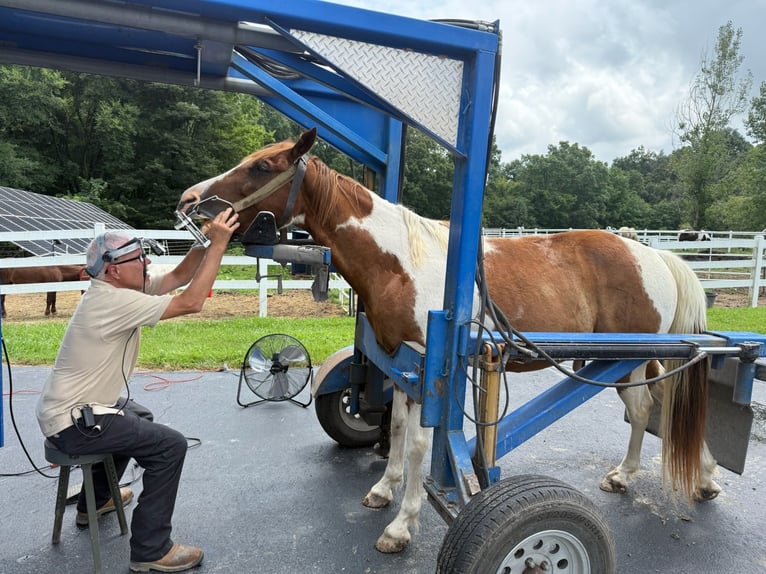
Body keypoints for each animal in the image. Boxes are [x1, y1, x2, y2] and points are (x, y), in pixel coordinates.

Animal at [177, 128, 716, 553]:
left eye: (262, 166)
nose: (189, 201)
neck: (400, 260)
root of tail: (654, 254)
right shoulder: (398, 363)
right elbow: (395, 429)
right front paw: (384, 488)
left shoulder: (425, 366)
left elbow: (418, 443)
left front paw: (402, 525)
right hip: (634, 359)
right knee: (655, 406)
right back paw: (678, 476)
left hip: (636, 357)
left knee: (652, 407)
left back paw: (651, 474)